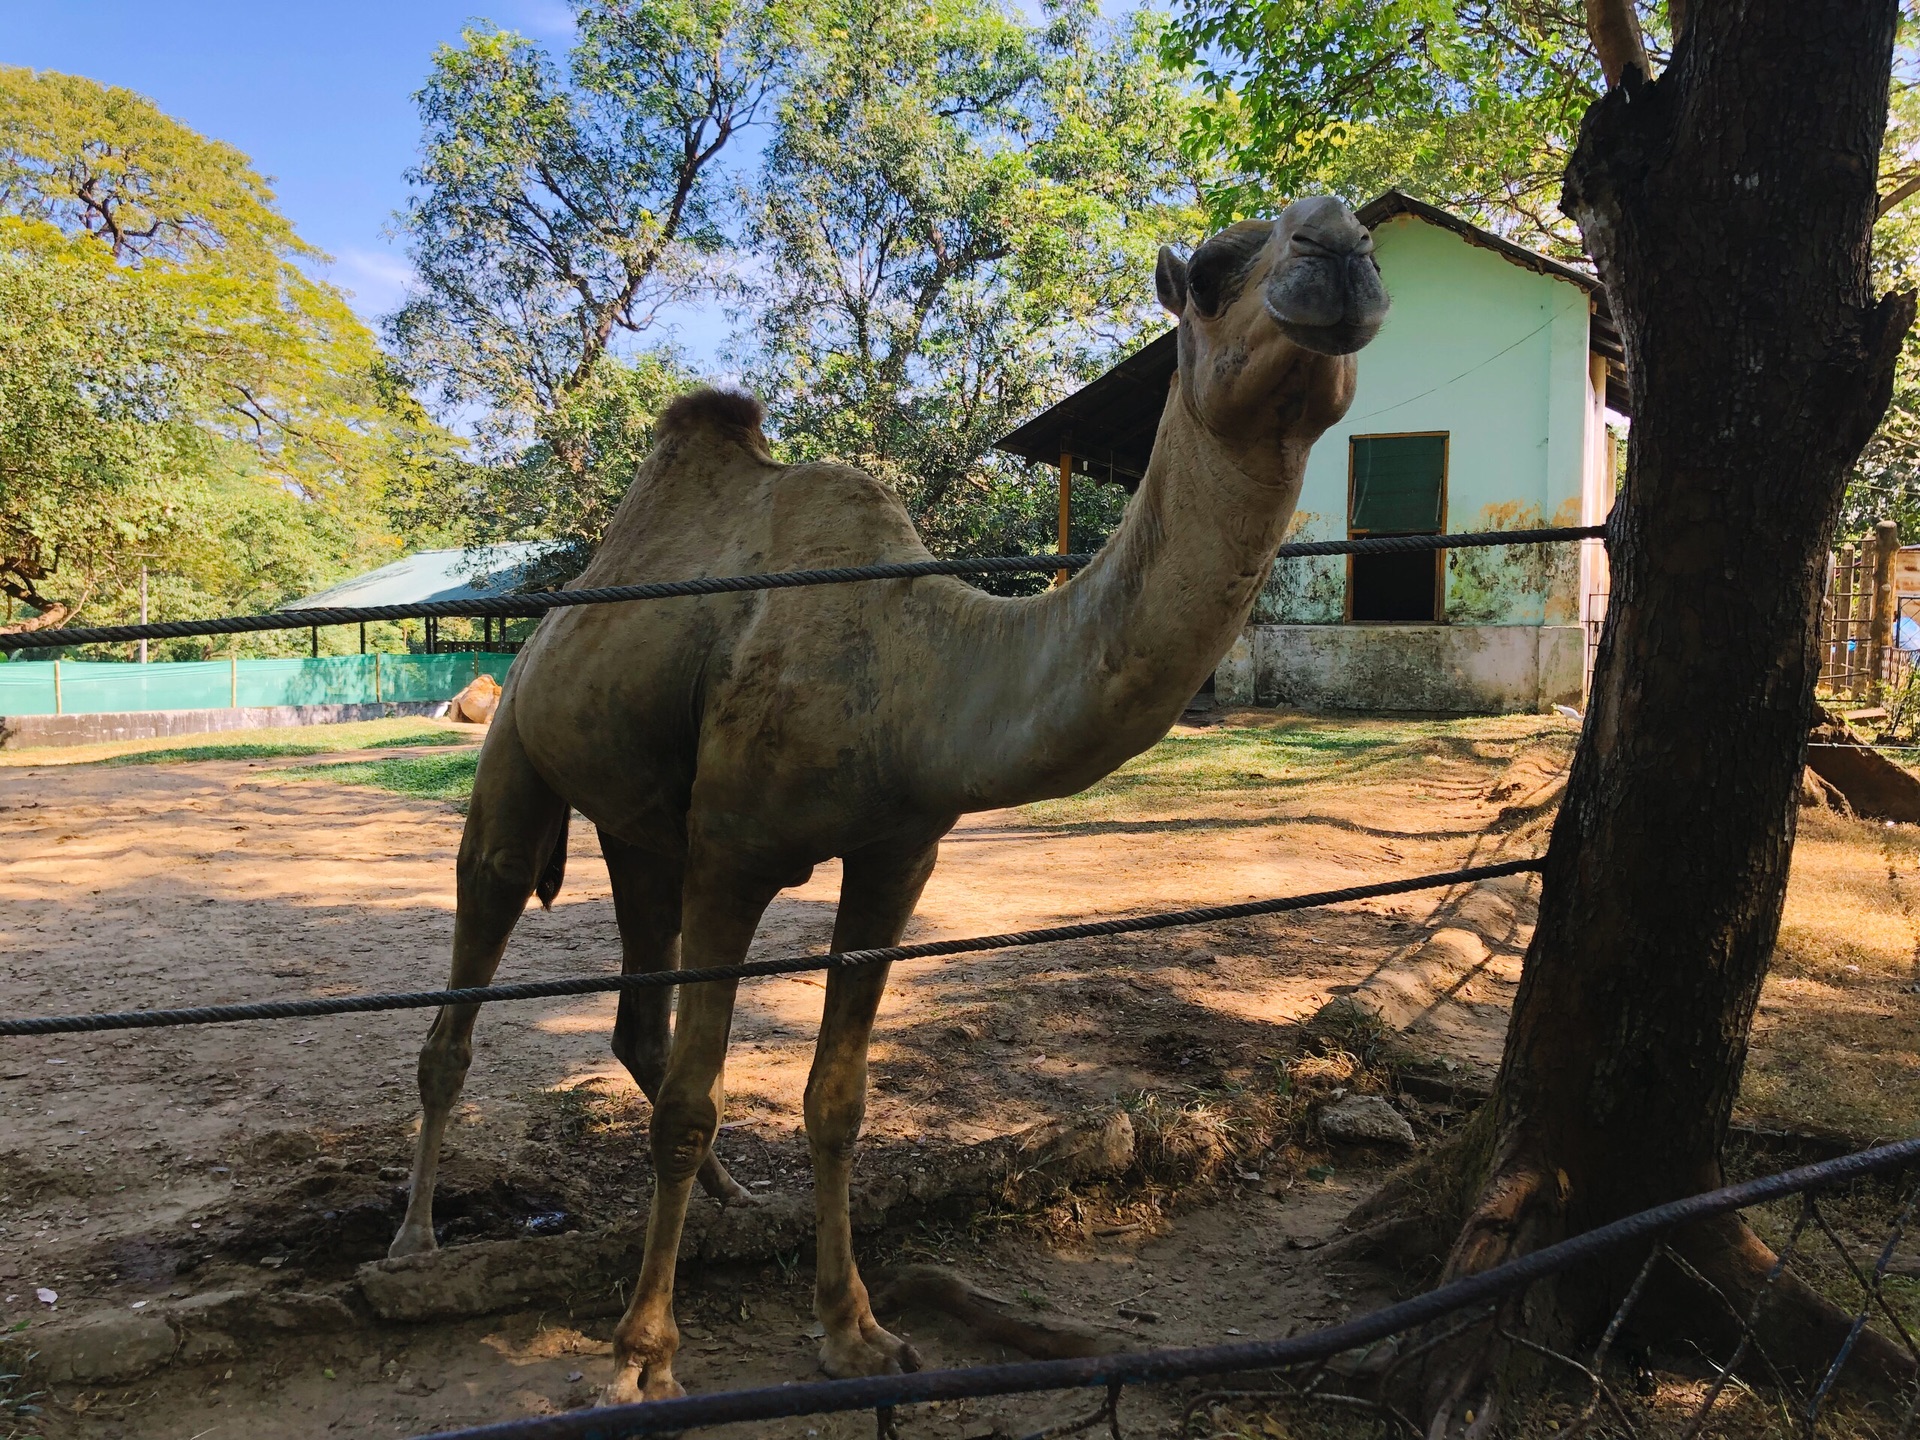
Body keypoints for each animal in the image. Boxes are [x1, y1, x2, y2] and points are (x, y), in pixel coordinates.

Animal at [389, 197, 1390, 1405]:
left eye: (1355, 237)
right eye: (1208, 272)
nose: (1339, 246)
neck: (916, 668)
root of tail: (545, 628)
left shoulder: (897, 857)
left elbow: (838, 1099)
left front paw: (854, 1329)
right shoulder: (731, 854)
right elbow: (690, 1105)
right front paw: (639, 1359)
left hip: (641, 835)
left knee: (636, 1016)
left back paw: (733, 1202)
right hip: (518, 760)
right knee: (472, 977)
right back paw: (413, 1243)